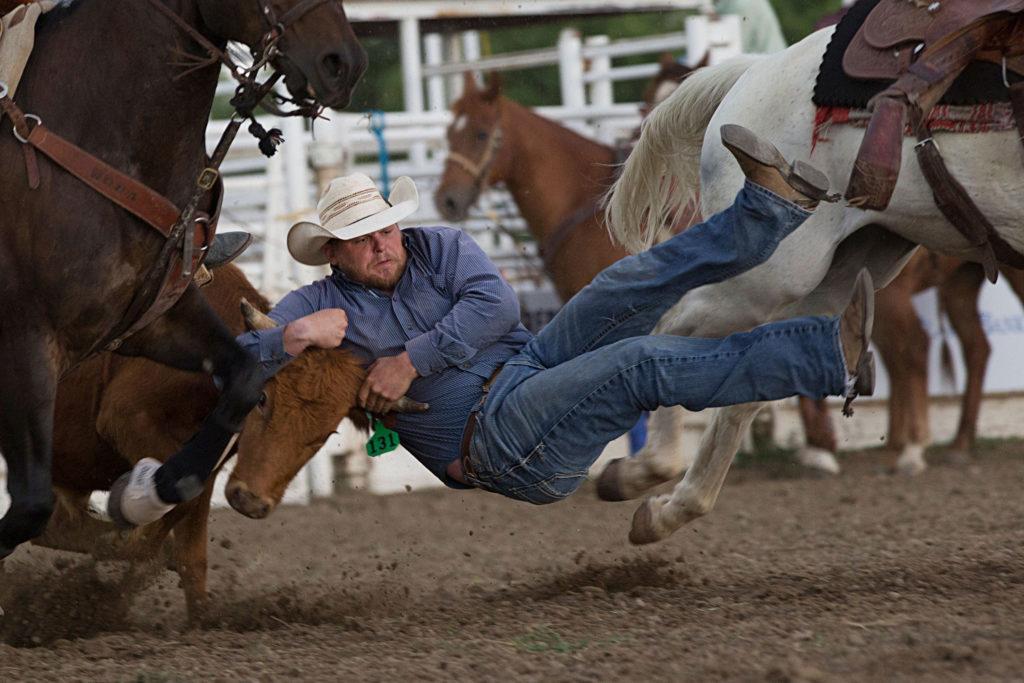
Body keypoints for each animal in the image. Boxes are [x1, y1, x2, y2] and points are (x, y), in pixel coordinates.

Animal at [0, 0, 368, 557]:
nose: (343, 64)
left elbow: (242, 376)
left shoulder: (158, 319)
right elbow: (29, 505)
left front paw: (140, 497)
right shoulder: (25, 341)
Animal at [602, 28, 1019, 544]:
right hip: (770, 275)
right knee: (672, 331)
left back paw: (668, 505)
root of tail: (757, 69)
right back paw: (647, 471)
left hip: (844, 270)